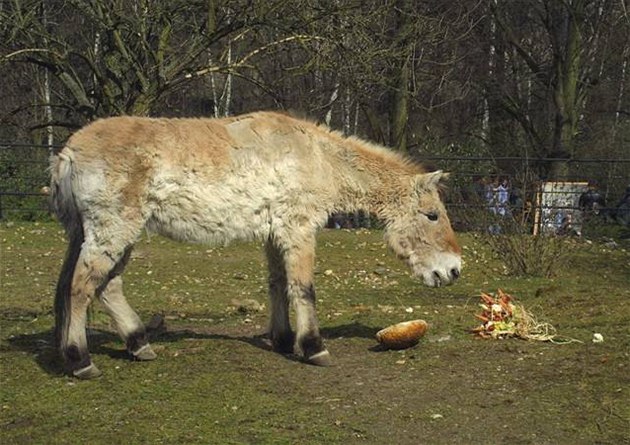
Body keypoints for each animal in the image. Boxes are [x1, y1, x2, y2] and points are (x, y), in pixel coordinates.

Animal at [50, 109, 464, 376]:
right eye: (432, 215)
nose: (453, 270)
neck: (318, 158)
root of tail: (67, 152)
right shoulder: (299, 229)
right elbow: (304, 288)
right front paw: (313, 347)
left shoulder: (274, 234)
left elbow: (278, 284)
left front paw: (283, 339)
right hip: (114, 229)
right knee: (81, 287)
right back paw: (80, 361)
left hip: (115, 234)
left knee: (107, 286)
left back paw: (138, 345)